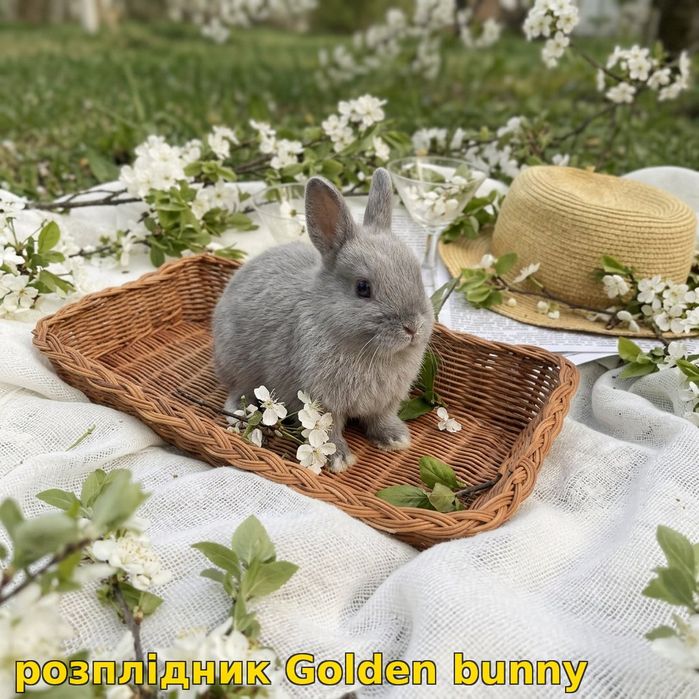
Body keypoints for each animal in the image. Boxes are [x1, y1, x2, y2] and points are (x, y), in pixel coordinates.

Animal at [213, 167, 434, 473]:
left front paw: (396, 439)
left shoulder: (384, 403)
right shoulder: (321, 402)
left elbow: (380, 419)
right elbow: (328, 431)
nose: (413, 327)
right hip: (236, 367)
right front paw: (338, 460)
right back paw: (236, 411)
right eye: (363, 288)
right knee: (236, 390)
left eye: (417, 277)